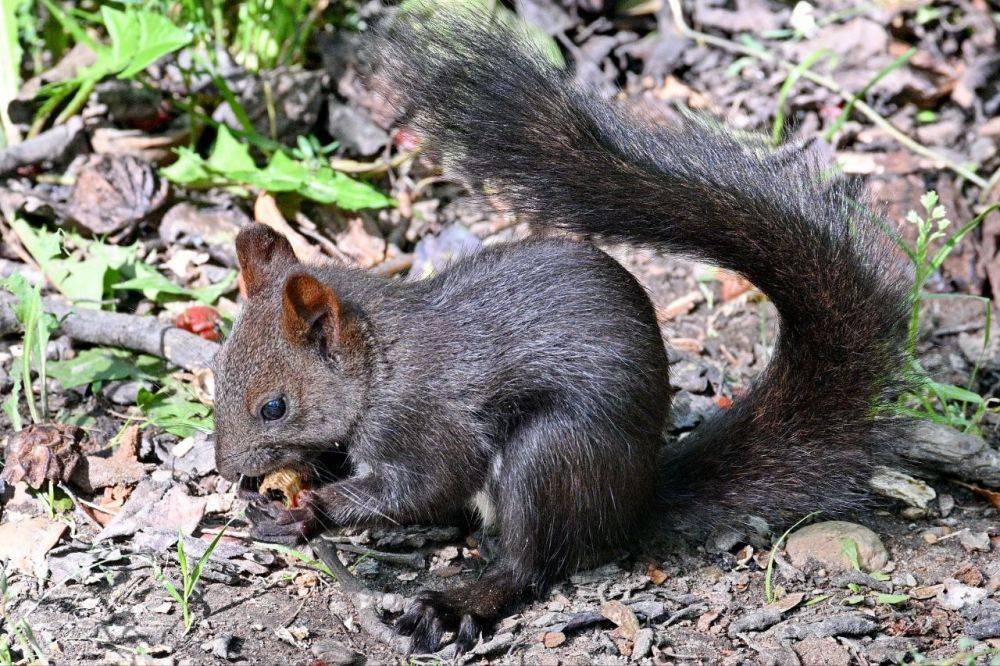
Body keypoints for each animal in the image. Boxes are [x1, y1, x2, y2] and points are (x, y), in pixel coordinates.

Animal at [211, 10, 916, 652]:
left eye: (273, 407)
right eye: (214, 374)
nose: (226, 470)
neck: (379, 364)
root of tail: (635, 499)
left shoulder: (425, 421)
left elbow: (425, 484)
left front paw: (310, 512)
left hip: (550, 455)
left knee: (530, 563)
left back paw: (456, 602)